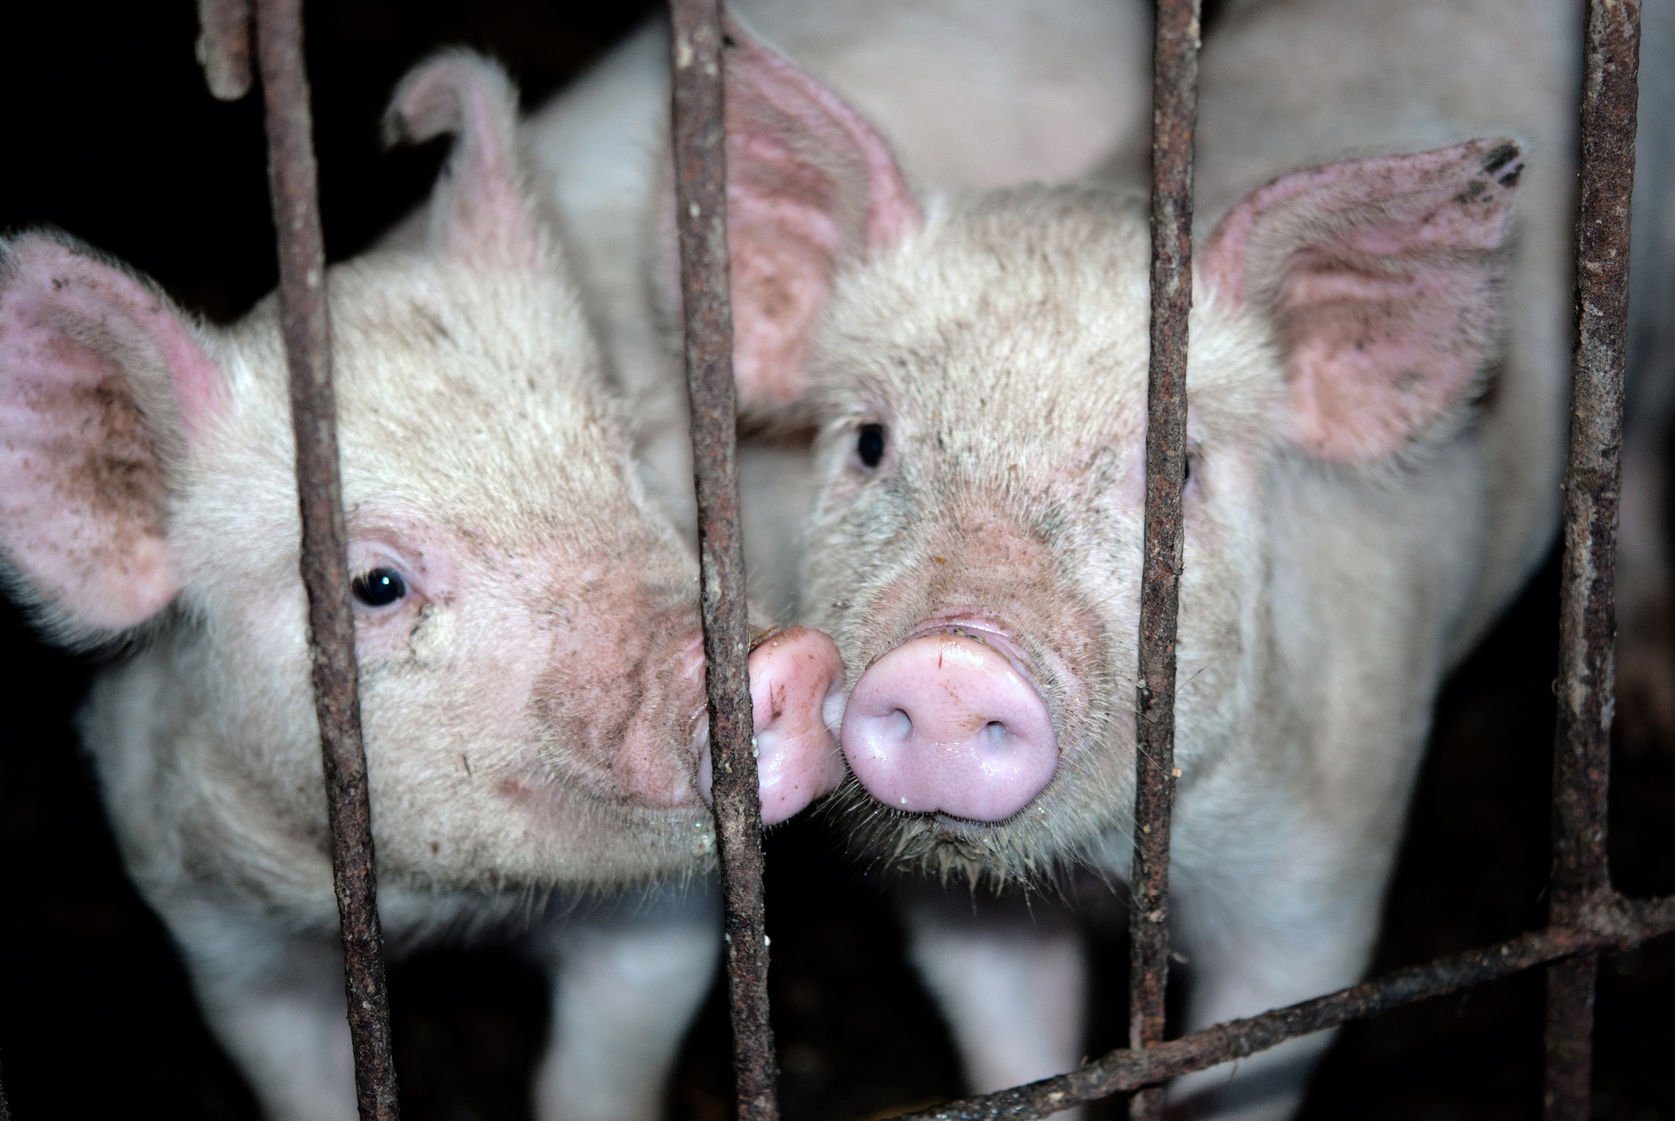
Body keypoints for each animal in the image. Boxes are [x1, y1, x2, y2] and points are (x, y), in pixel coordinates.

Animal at [0, 50, 846, 1121]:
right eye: (374, 582)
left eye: (624, 457)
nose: (787, 660)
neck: (434, 912)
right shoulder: (212, 929)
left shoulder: (668, 928)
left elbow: (599, 1072)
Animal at [695, 0, 1589, 1116]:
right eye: (868, 442)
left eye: (1176, 470)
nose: (949, 659)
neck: (1100, 870)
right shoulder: (947, 906)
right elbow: (1014, 1048)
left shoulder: (1324, 864)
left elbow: (1256, 1040)